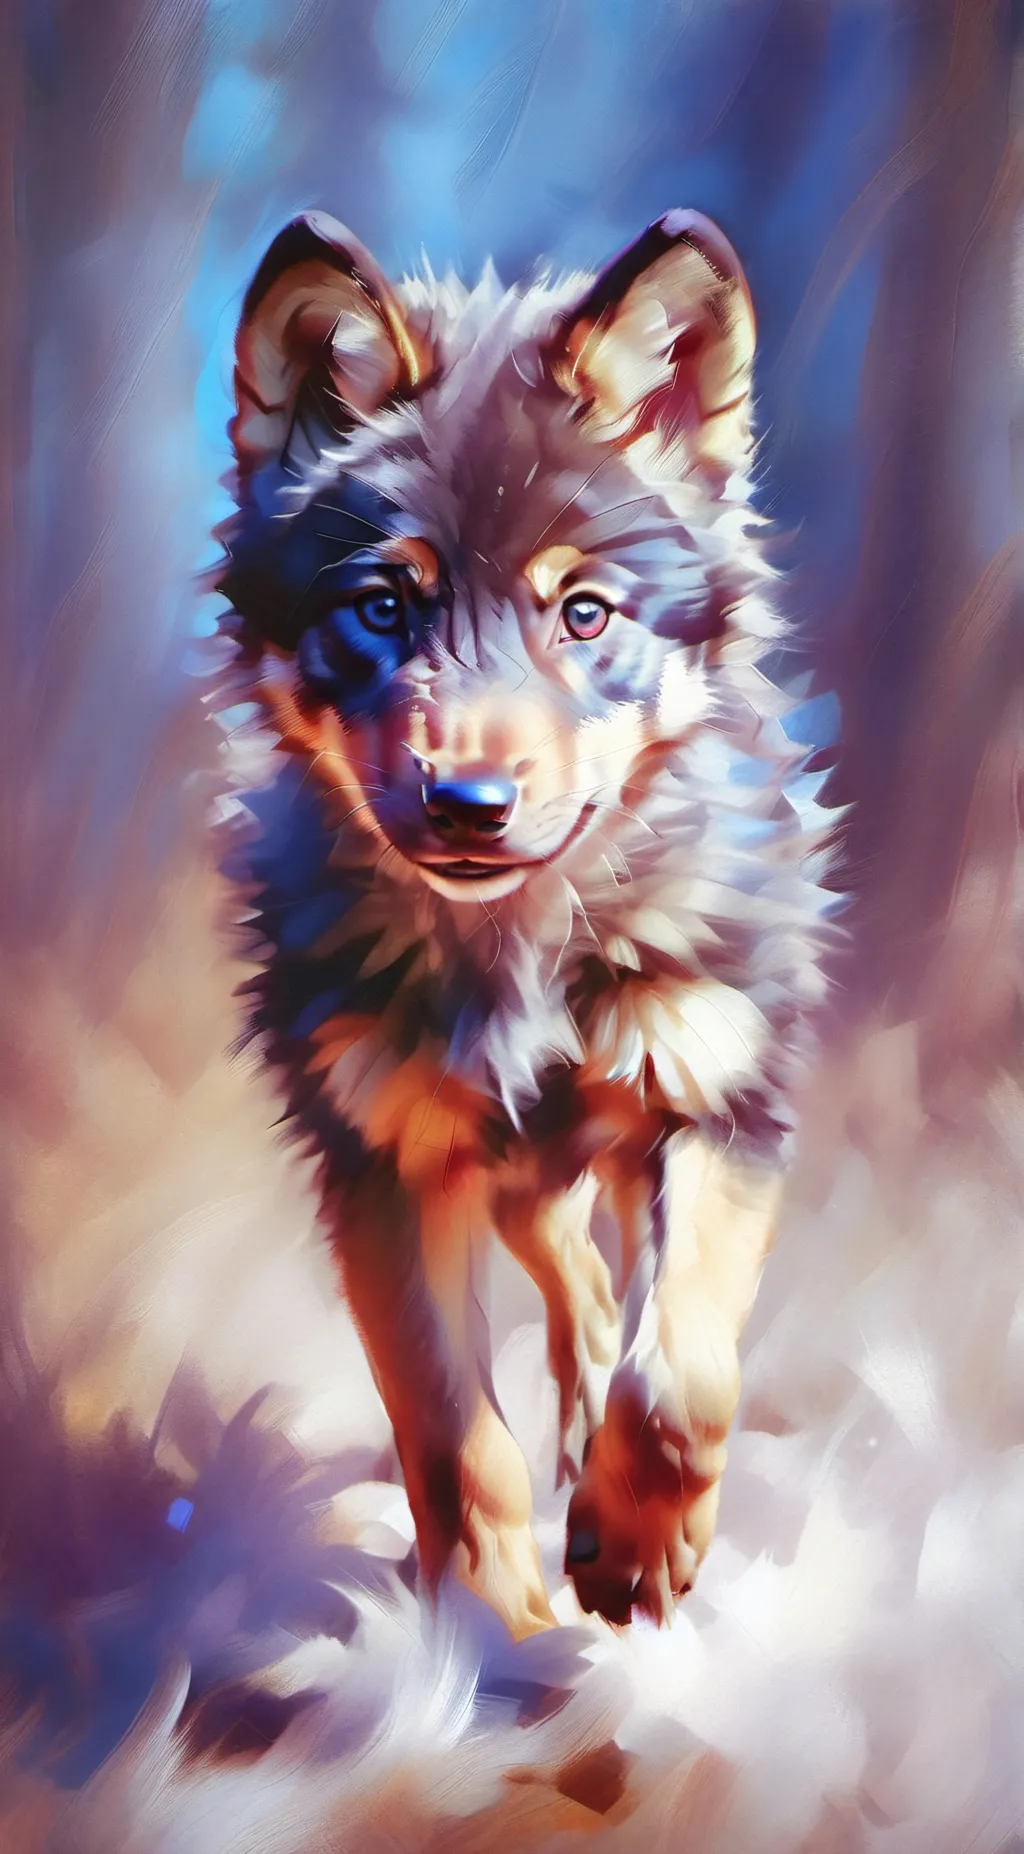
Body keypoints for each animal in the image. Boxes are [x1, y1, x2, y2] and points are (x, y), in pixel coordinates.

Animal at [214, 208, 833, 1638]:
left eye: (584, 612)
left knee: (610, 1297)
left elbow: (684, 1377)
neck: (522, 952)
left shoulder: (720, 1106)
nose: (470, 805)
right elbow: (450, 1437)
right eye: (384, 606)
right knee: (576, 1286)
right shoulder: (383, 1172)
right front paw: (487, 1644)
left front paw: (637, 1549)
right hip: (503, 1176)